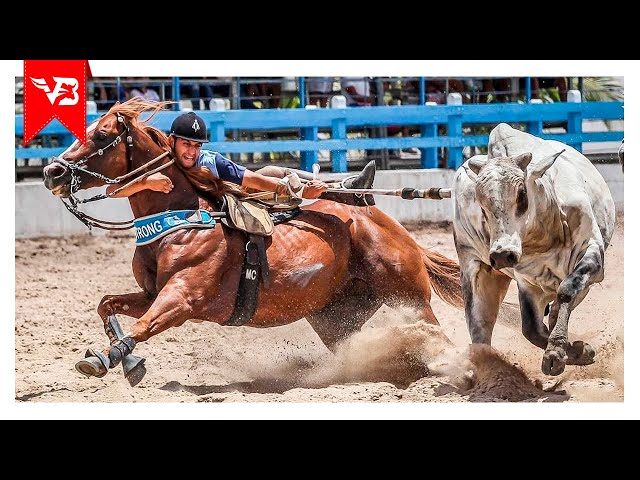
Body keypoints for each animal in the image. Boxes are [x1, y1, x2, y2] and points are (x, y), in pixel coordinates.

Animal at [42, 98, 462, 386]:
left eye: (100, 135)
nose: (52, 171)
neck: (182, 222)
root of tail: (393, 228)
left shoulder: (181, 299)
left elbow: (144, 325)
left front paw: (106, 360)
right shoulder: (151, 293)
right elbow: (107, 304)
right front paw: (128, 363)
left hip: (409, 297)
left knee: (439, 337)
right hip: (334, 318)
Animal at [452, 123, 616, 376]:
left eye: (522, 195)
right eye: (481, 203)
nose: (502, 254)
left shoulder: (591, 255)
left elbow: (567, 292)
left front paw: (556, 351)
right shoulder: (528, 282)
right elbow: (532, 329)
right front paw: (575, 351)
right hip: (475, 268)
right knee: (479, 324)